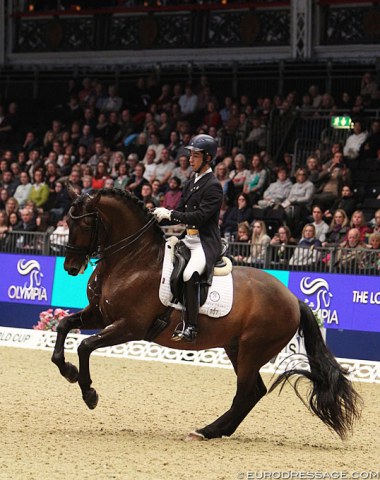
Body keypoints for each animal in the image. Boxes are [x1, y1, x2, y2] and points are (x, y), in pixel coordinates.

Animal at [51, 187, 362, 438]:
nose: (71, 267)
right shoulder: (99, 315)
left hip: (252, 350)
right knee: (254, 392)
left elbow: (85, 345)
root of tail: (293, 299)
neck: (132, 259)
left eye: (86, 222)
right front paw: (68, 371)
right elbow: (64, 326)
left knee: (245, 393)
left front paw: (89, 393)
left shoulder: (129, 326)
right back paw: (216, 430)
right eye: (68, 221)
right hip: (236, 348)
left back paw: (207, 431)